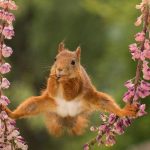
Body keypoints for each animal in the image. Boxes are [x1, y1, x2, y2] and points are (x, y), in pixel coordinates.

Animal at [0, 42, 137, 137]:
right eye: (55, 59)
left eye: (73, 62)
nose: (59, 69)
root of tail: (67, 116)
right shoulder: (51, 92)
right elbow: (52, 90)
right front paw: (54, 78)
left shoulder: (79, 83)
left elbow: (71, 93)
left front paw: (65, 80)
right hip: (41, 103)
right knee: (26, 108)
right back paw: (9, 112)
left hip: (94, 98)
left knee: (108, 104)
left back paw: (125, 111)